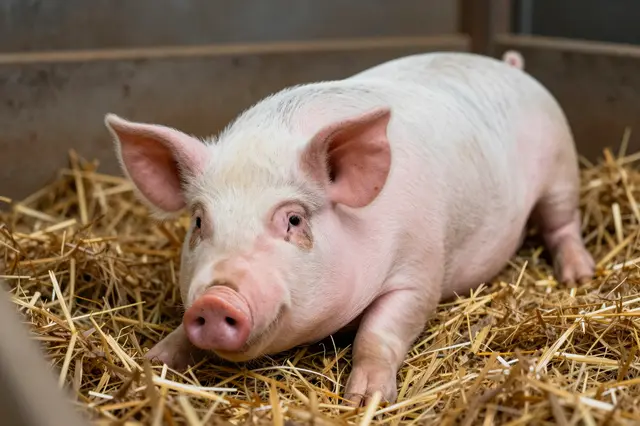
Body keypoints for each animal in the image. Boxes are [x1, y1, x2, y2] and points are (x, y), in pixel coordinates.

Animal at [104, 50, 594, 406]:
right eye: (200, 221)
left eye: (294, 220)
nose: (216, 298)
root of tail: (510, 66)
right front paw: (153, 361)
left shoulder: (419, 272)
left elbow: (378, 332)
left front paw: (365, 400)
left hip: (561, 169)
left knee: (563, 222)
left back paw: (579, 275)